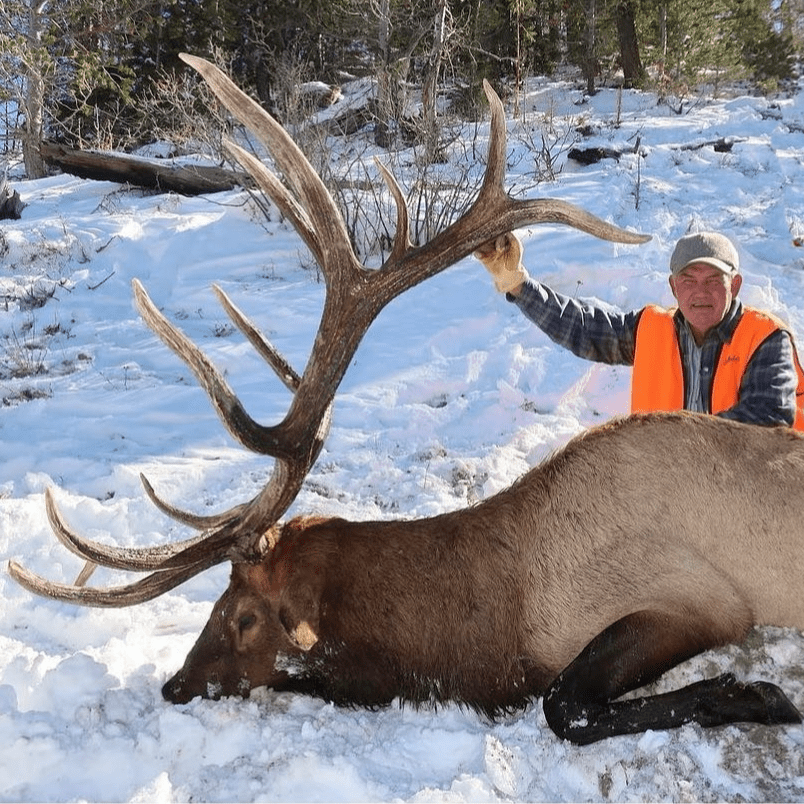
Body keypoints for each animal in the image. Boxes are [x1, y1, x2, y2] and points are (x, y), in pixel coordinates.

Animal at [7, 55, 804, 746]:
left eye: (243, 615)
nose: (175, 684)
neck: (498, 619)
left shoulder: (697, 598)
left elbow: (564, 704)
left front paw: (757, 692)